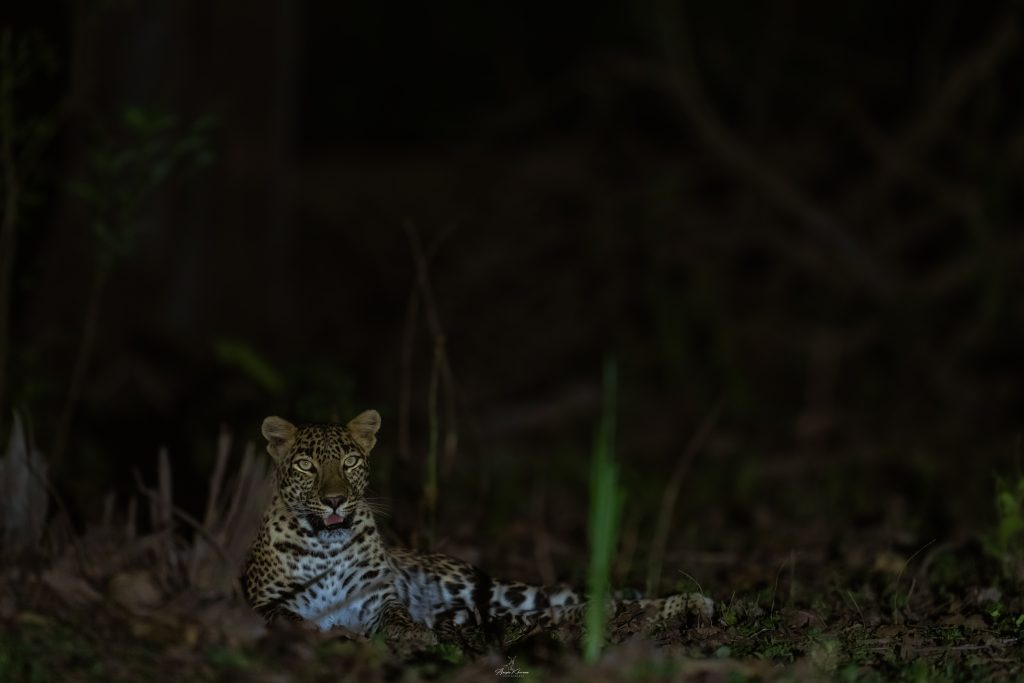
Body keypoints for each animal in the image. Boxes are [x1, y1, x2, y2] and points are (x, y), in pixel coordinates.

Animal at [242, 409, 716, 655]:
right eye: (306, 466)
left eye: (351, 462)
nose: (336, 500)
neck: (327, 544)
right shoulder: (266, 601)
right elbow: (285, 615)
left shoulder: (376, 597)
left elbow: (396, 612)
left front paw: (411, 632)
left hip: (491, 588)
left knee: (587, 601)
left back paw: (692, 602)